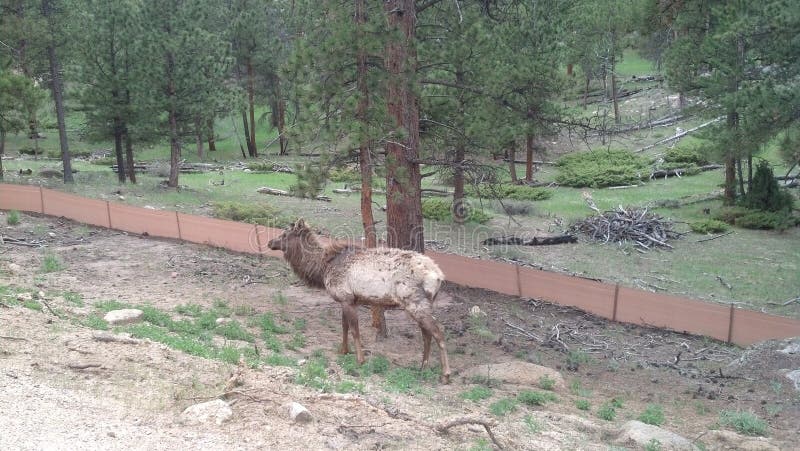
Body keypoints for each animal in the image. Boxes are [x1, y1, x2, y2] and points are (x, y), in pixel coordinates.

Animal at [268, 221, 454, 384]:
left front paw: (360, 359)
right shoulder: (347, 299)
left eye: (285, 234)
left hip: (414, 301)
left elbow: (354, 330)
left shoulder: (346, 297)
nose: (270, 242)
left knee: (438, 331)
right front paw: (343, 350)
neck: (322, 268)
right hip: (422, 304)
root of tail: (439, 276)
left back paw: (445, 375)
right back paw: (423, 367)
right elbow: (344, 326)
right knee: (427, 334)